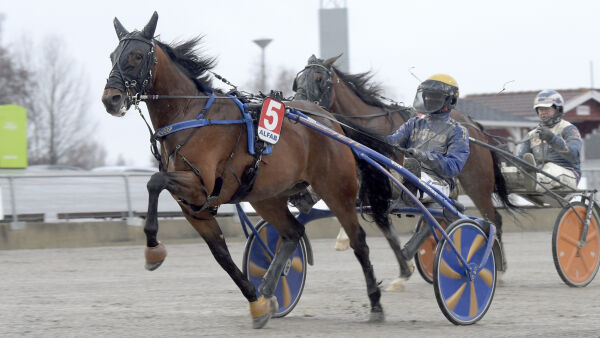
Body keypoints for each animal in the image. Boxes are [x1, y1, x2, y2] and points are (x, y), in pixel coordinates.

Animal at [100, 12, 384, 328]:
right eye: (113, 55)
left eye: (137, 56)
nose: (110, 99)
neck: (190, 116)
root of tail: (330, 120)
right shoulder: (194, 207)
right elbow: (221, 255)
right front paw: (256, 304)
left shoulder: (201, 186)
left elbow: (154, 181)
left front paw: (153, 250)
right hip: (266, 197)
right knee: (293, 232)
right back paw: (269, 291)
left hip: (336, 189)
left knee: (358, 240)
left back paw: (375, 304)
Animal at [292, 54, 512, 288]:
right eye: (299, 79)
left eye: (319, 78)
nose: (299, 103)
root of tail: (473, 127)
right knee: (443, 213)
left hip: (475, 184)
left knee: (491, 219)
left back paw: (496, 268)